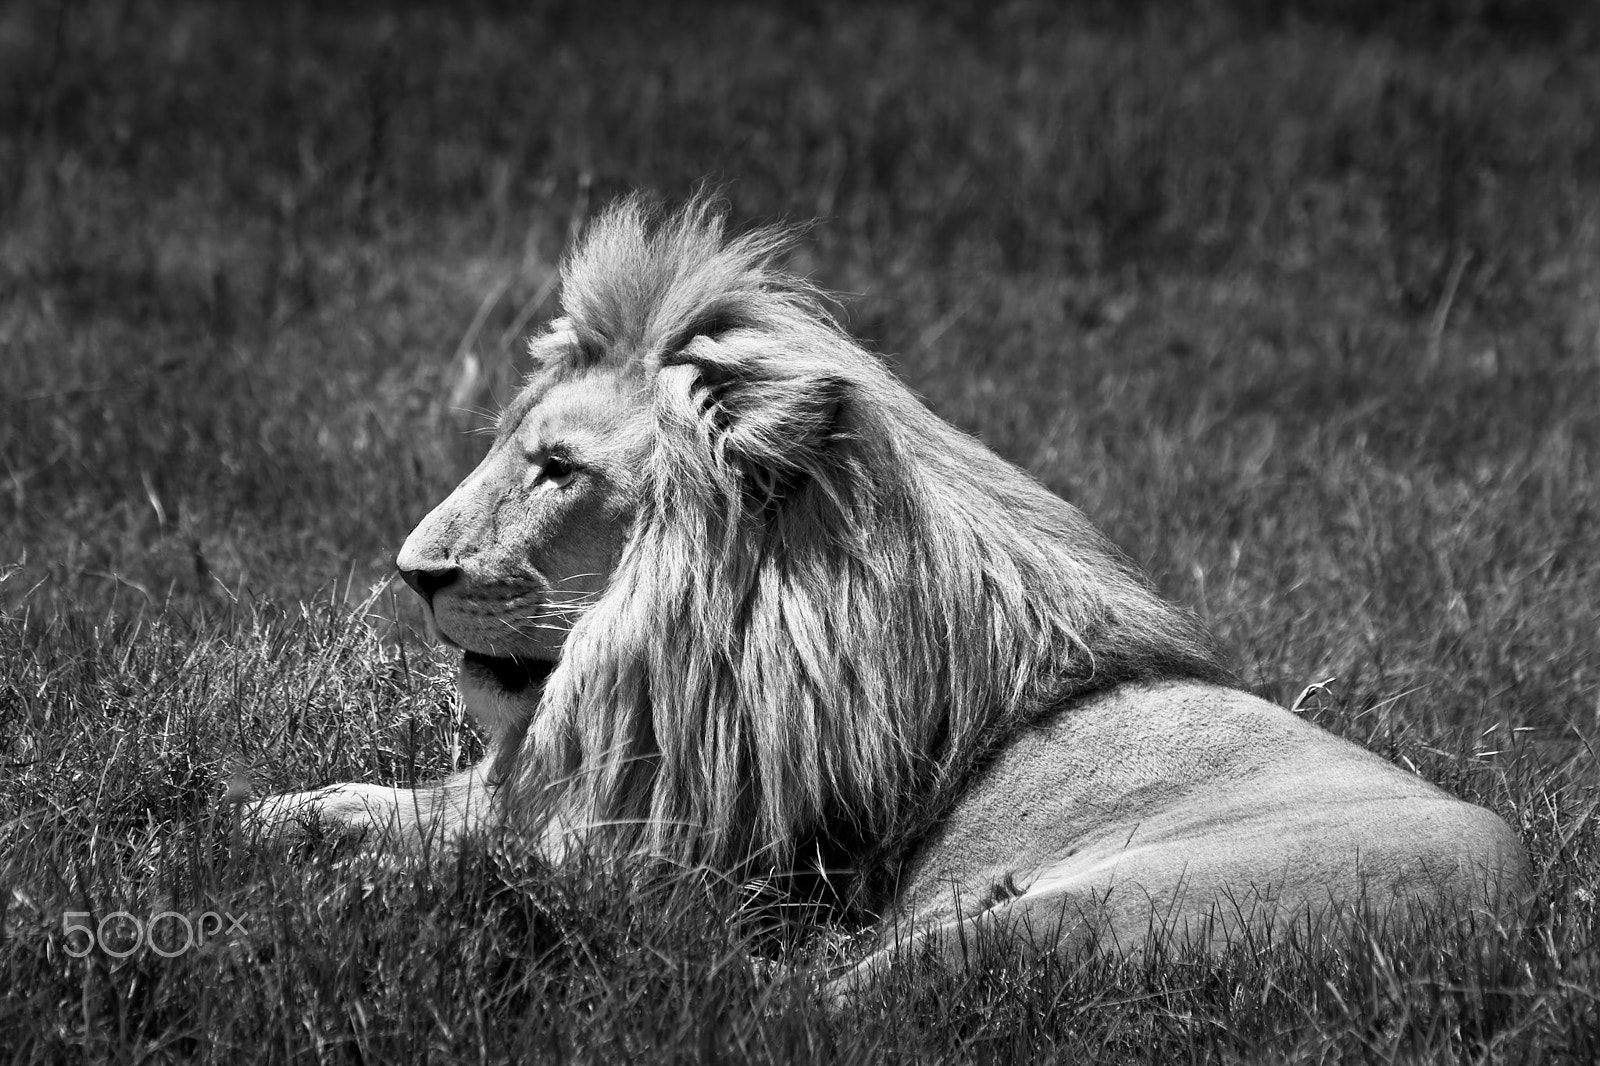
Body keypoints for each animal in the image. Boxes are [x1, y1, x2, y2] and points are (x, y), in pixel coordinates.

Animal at [256, 197, 1530, 990]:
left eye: (557, 468)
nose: (412, 573)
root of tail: (1503, 932)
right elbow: (417, 802)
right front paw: (281, 815)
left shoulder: (680, 861)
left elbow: (474, 861)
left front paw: (344, 890)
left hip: (1084, 908)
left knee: (818, 1004)